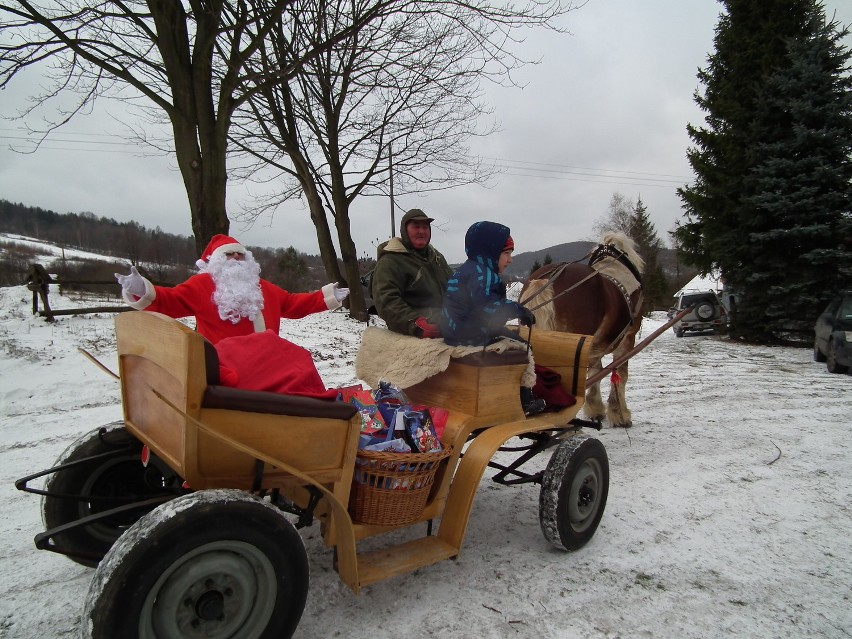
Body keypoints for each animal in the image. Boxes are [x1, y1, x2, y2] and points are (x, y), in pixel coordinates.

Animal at [520, 232, 644, 428]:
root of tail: (547, 279)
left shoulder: (593, 345)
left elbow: (596, 372)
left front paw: (596, 409)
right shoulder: (627, 339)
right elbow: (620, 374)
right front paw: (620, 414)